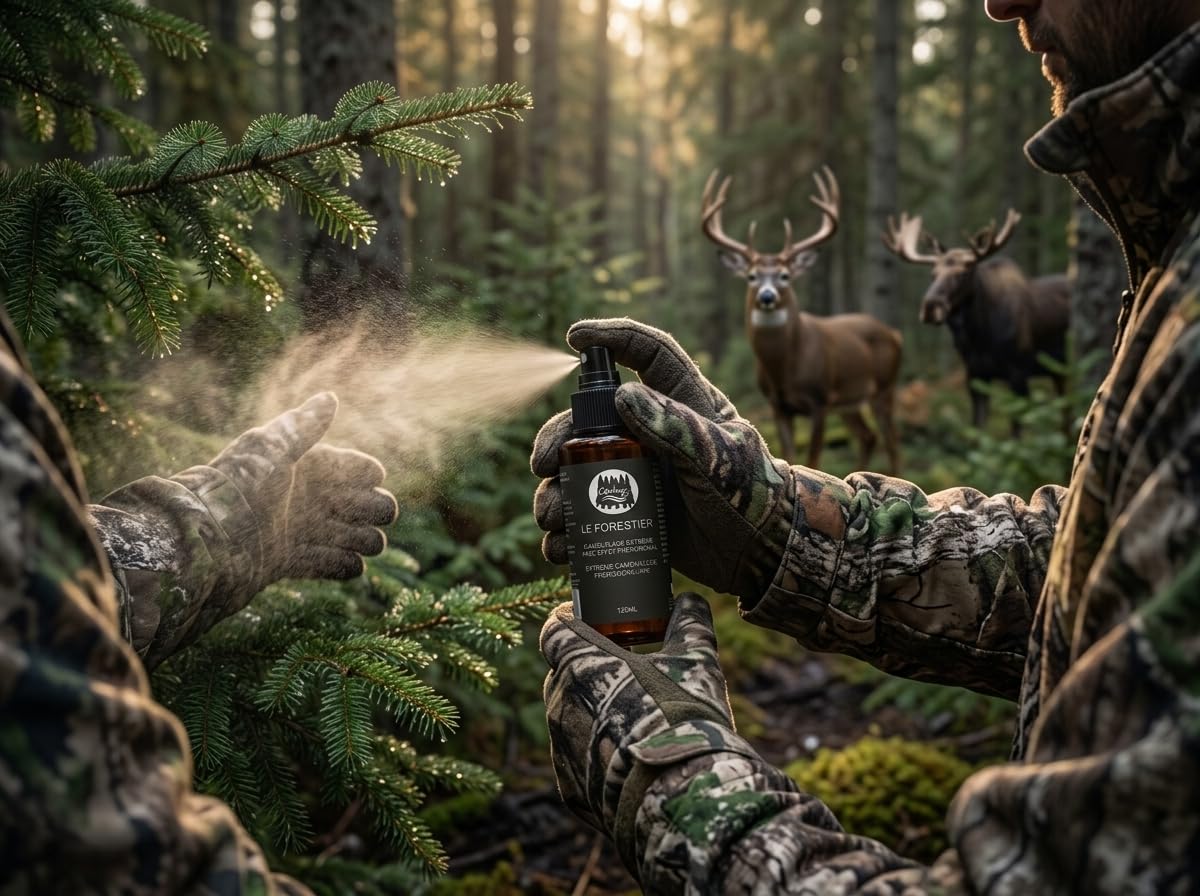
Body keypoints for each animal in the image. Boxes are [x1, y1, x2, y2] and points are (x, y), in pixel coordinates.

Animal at [701, 167, 903, 471]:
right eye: (751, 276)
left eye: (785, 275)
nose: (767, 296)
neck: (785, 370)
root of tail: (893, 334)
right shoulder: (778, 405)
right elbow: (789, 455)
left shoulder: (819, 400)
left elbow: (814, 459)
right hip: (849, 401)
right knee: (868, 437)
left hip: (884, 387)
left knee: (892, 443)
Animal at [882, 209, 1071, 433]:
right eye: (933, 274)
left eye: (963, 273)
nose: (930, 307)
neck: (979, 338)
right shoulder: (974, 375)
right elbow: (977, 429)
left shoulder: (1019, 373)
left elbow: (1016, 430)